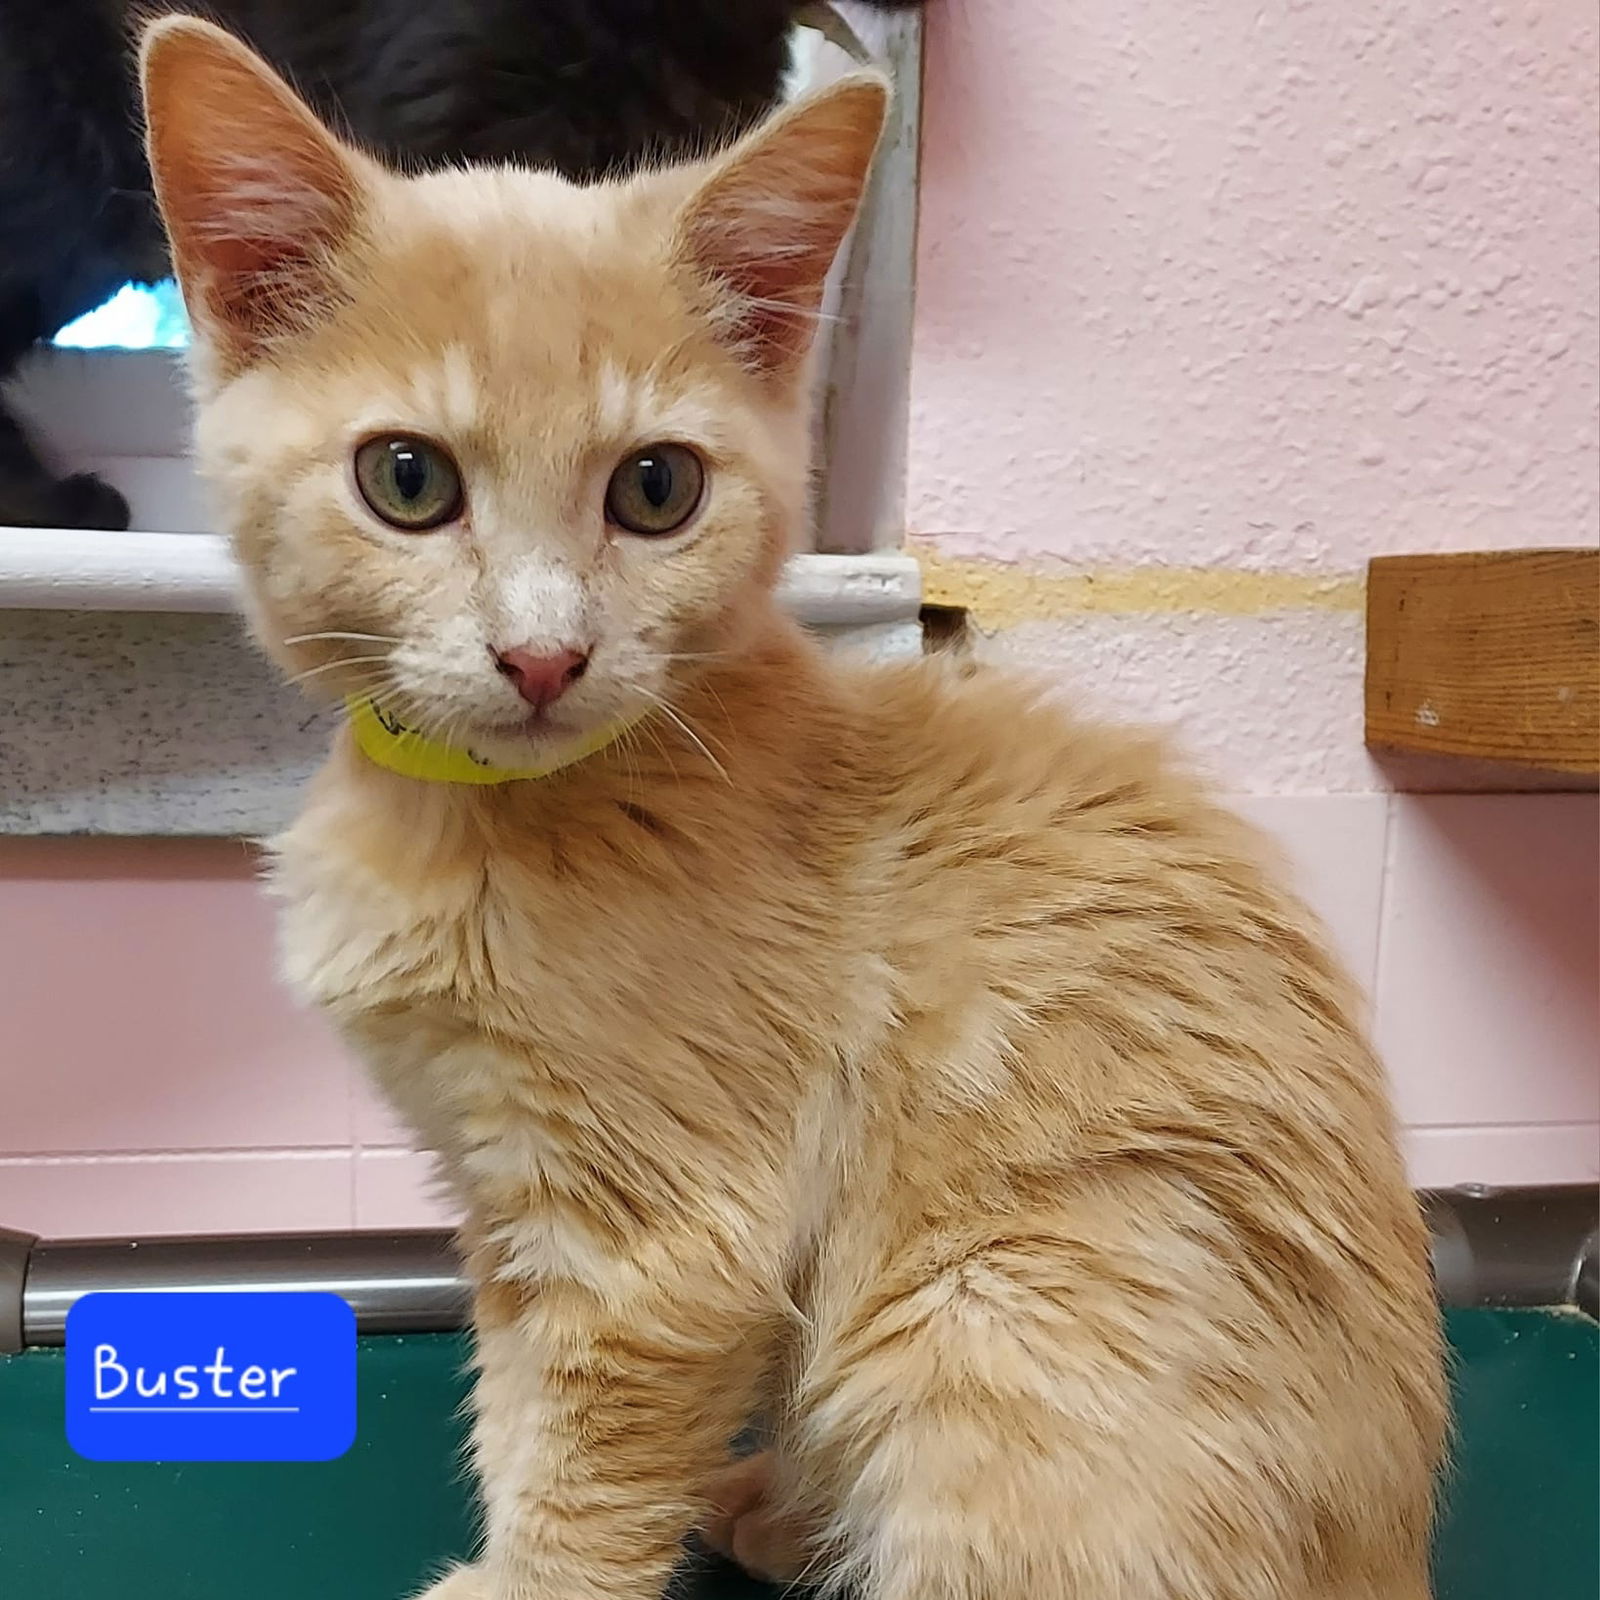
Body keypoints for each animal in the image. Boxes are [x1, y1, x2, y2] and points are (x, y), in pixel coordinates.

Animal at [144, 15, 1446, 1600]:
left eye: (655, 488)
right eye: (407, 478)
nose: (542, 657)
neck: (497, 813)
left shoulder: (658, 1244)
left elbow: (577, 1461)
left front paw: (523, 1581)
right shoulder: (507, 1213)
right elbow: (516, 1413)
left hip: (997, 1316)